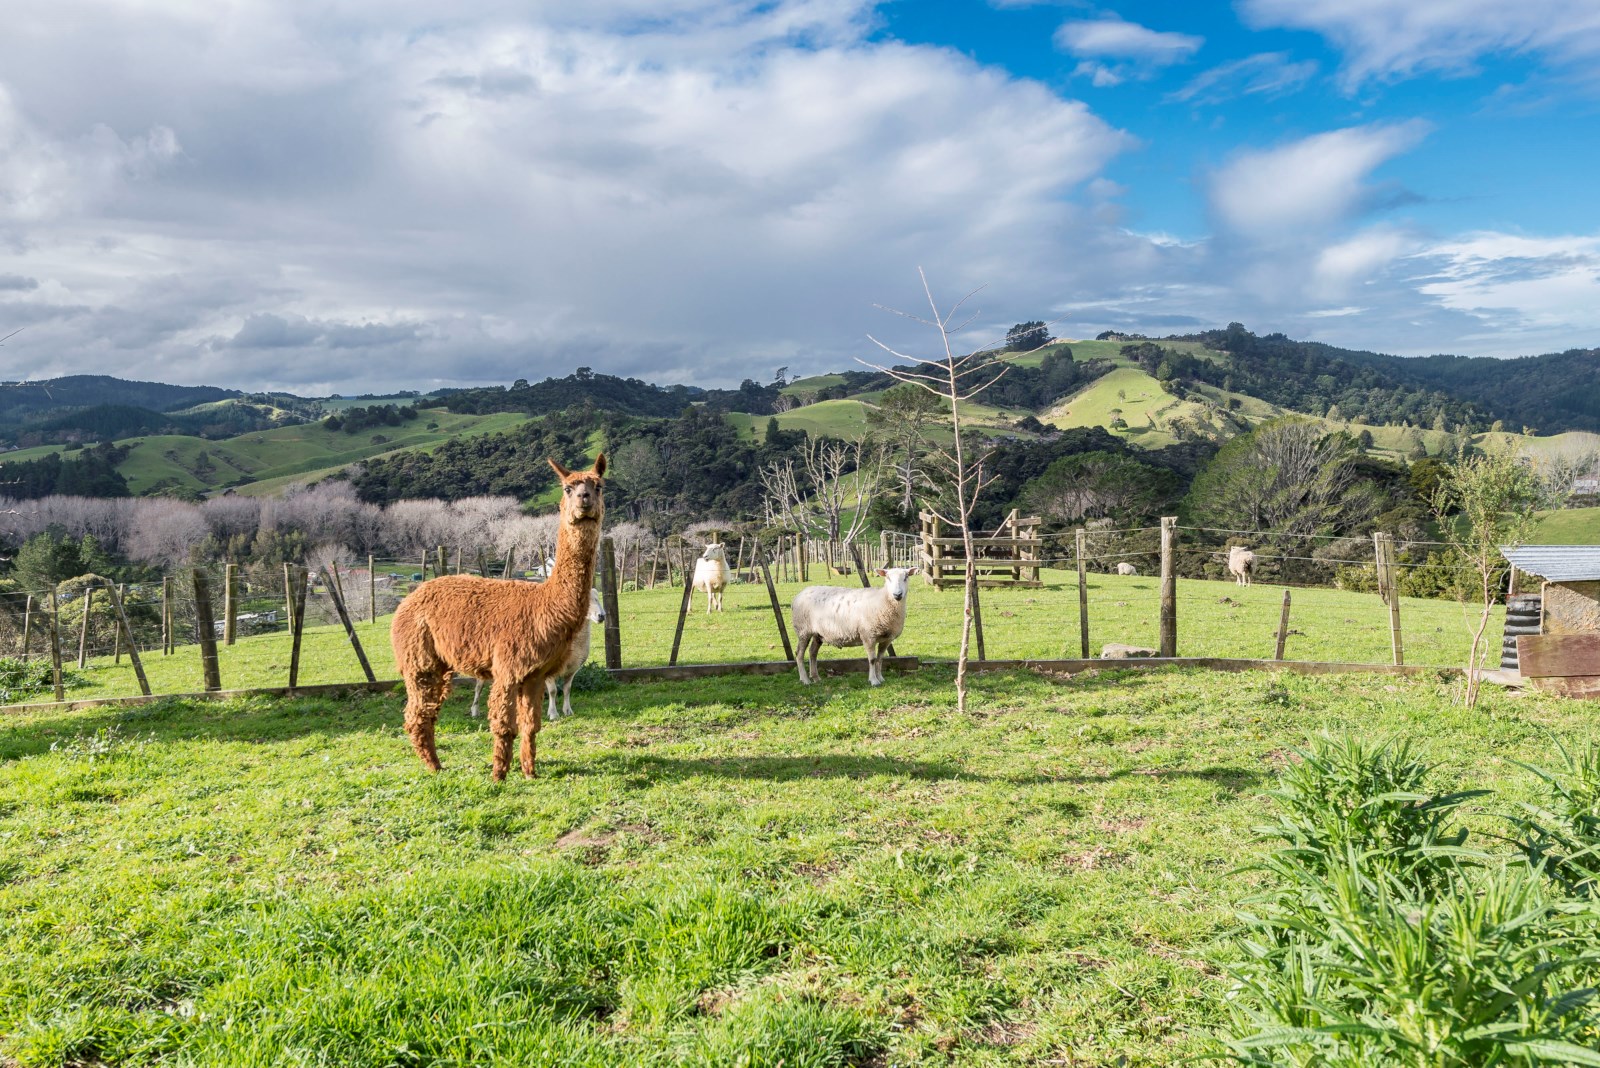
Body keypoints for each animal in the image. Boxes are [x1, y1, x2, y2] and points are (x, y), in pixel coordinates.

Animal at [392, 454, 604, 780]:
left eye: (599, 486)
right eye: (568, 488)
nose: (584, 499)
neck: (544, 605)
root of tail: (411, 596)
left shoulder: (535, 674)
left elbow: (532, 726)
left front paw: (530, 772)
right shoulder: (508, 668)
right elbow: (504, 726)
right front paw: (499, 776)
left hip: (439, 663)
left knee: (429, 713)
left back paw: (437, 764)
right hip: (418, 659)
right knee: (417, 714)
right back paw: (434, 767)